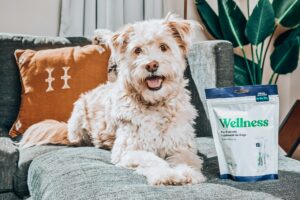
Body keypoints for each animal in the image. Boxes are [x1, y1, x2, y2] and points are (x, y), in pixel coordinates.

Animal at [19, 13, 206, 186]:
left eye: (164, 47)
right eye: (137, 50)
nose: (152, 65)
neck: (155, 104)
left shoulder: (183, 146)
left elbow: (186, 159)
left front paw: (188, 173)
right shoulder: (126, 150)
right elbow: (151, 159)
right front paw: (165, 174)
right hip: (78, 117)